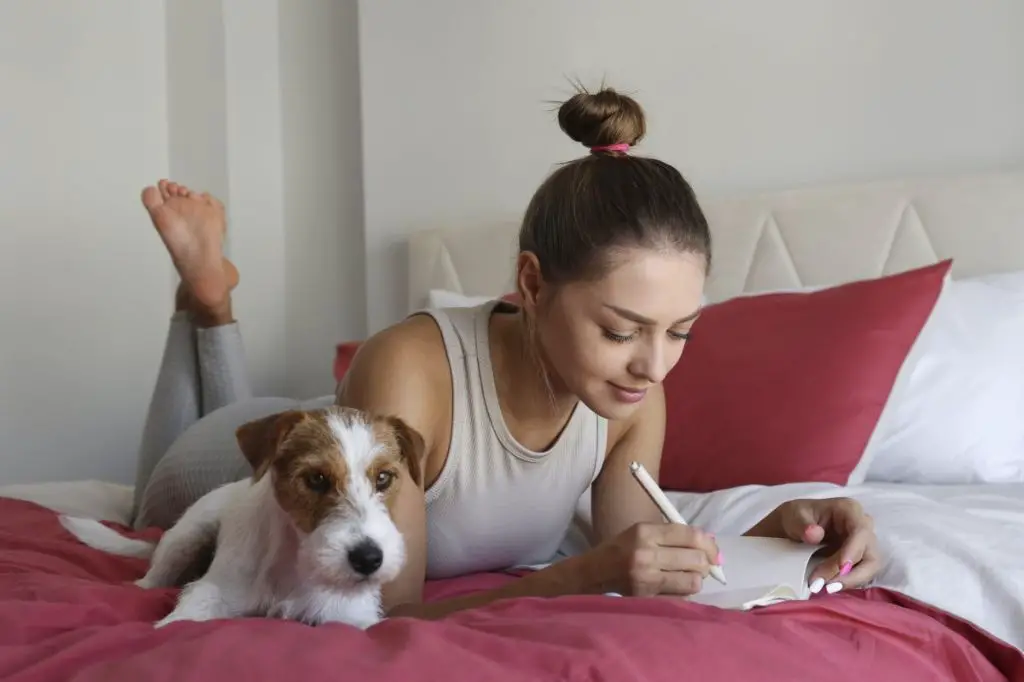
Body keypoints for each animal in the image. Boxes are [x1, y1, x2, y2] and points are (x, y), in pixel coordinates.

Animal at [59, 403, 421, 626]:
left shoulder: (349, 614)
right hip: (186, 538)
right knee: (151, 579)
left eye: (383, 478)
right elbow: (183, 617)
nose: (368, 559)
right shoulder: (212, 591)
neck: (294, 563)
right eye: (316, 478)